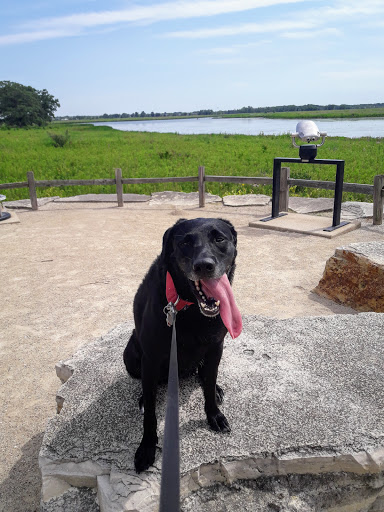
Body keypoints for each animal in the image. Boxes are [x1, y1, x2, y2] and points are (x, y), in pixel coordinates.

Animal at [124, 216, 242, 472]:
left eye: (219, 238)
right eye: (185, 242)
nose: (204, 266)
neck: (189, 308)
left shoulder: (216, 347)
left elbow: (209, 385)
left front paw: (214, 414)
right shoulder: (151, 357)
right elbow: (150, 413)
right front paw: (147, 447)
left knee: (205, 375)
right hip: (131, 356)